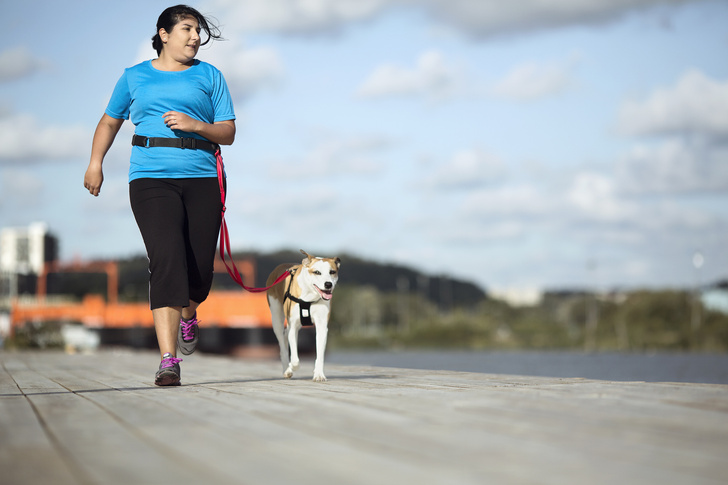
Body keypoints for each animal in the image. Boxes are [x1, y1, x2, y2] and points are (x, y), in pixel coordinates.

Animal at [268, 250, 342, 382]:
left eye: (332, 272)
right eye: (317, 272)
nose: (328, 284)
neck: (310, 295)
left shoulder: (322, 327)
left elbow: (320, 354)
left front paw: (319, 374)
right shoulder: (293, 326)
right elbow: (295, 360)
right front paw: (292, 366)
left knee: (285, 335)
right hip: (276, 318)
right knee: (282, 342)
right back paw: (287, 369)